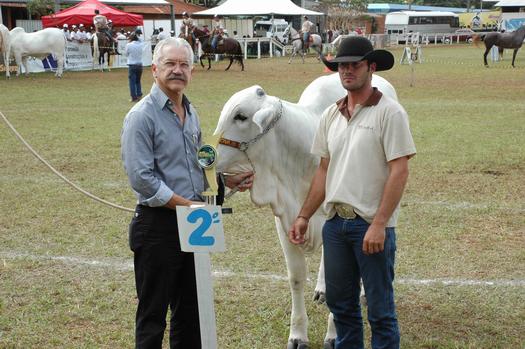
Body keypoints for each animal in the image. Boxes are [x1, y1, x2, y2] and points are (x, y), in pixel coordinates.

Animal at [214, 72, 398, 346]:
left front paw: (333, 335)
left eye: (241, 116)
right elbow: (297, 276)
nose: (208, 157)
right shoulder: (285, 222)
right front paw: (298, 335)